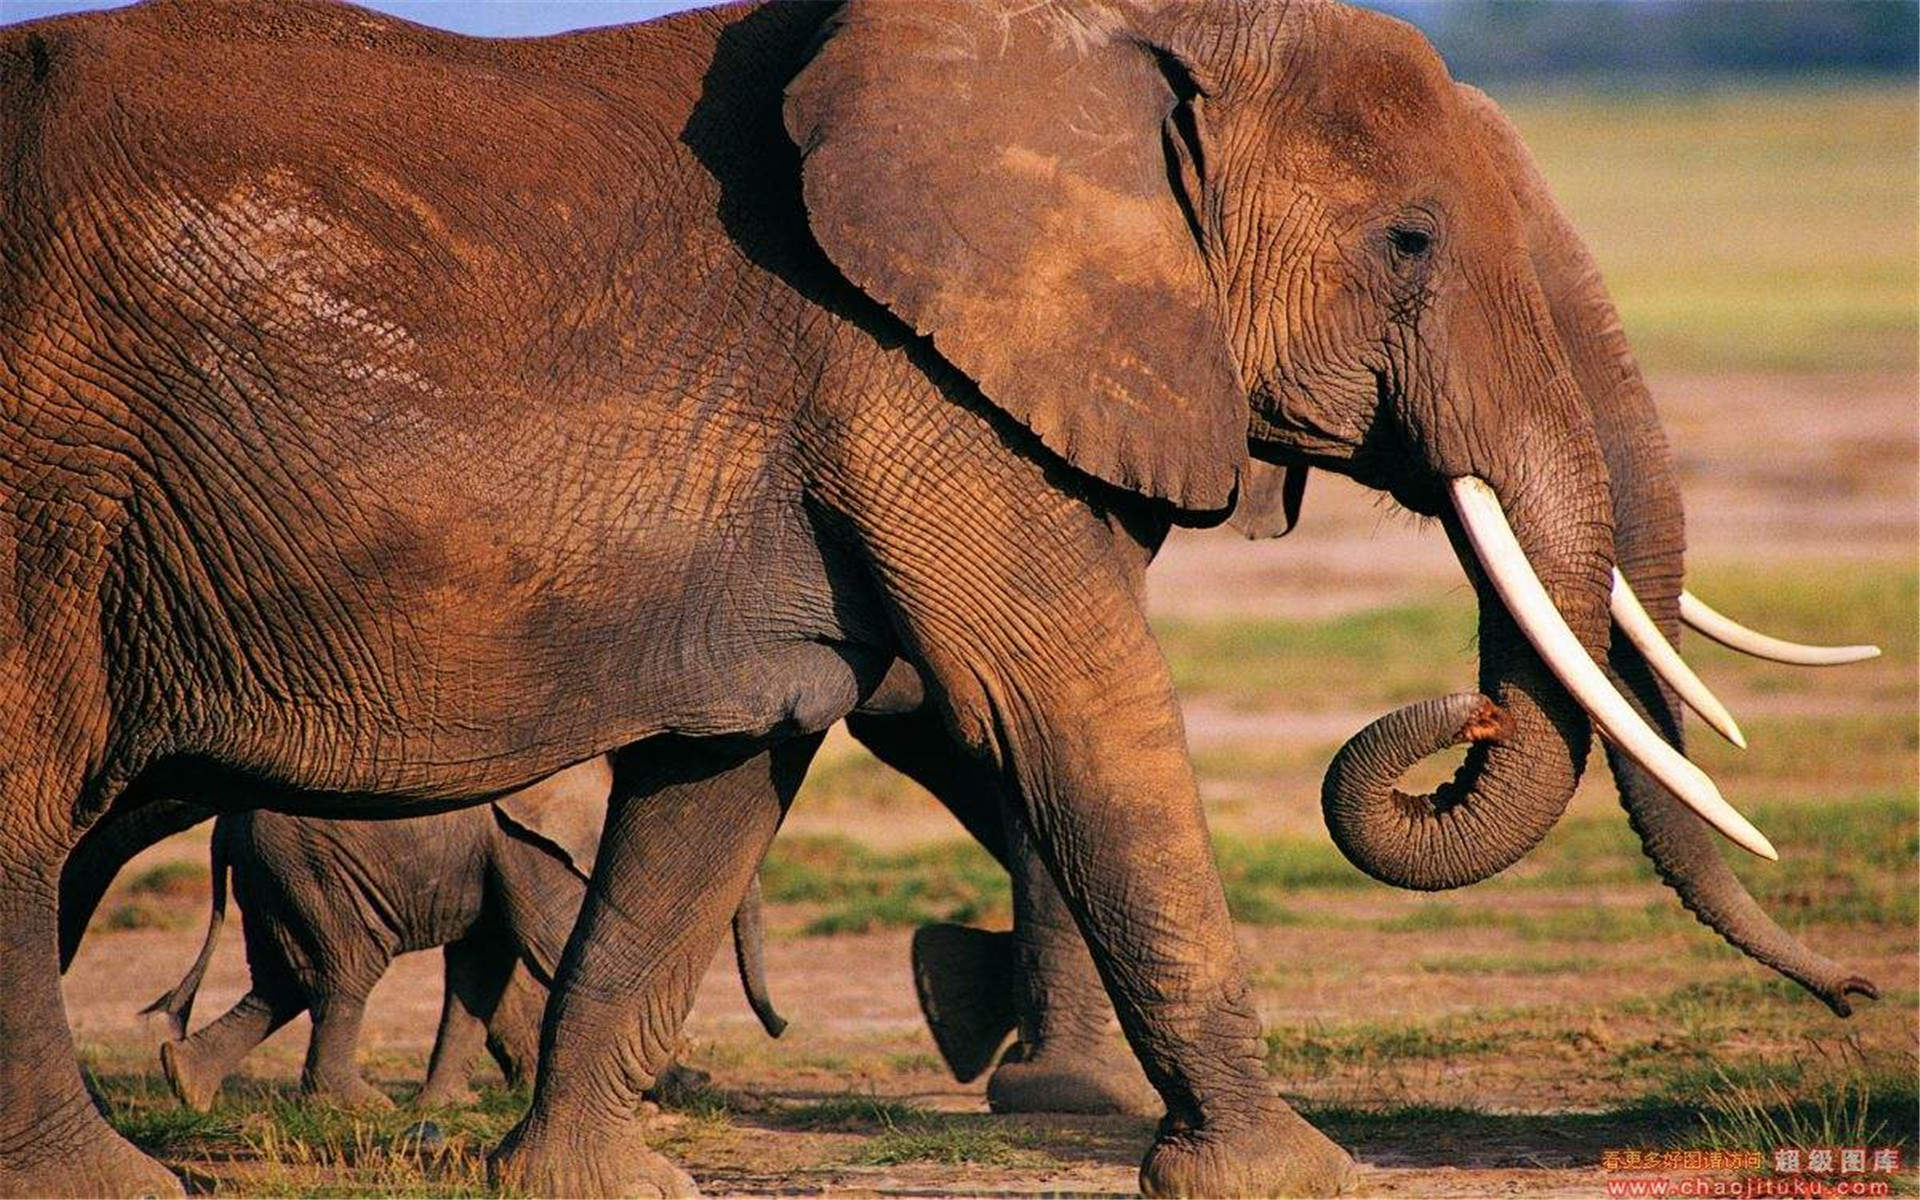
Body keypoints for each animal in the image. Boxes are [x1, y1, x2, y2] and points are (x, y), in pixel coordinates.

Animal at [0, 0, 1842, 1194]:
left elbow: (719, 783)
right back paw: (105, 1183)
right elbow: (1073, 711)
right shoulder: (917, 385)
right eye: (1409, 243)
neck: (1106, 37)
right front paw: (1295, 1177)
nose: (1851, 996)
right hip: (50, 464)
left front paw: (596, 1184)